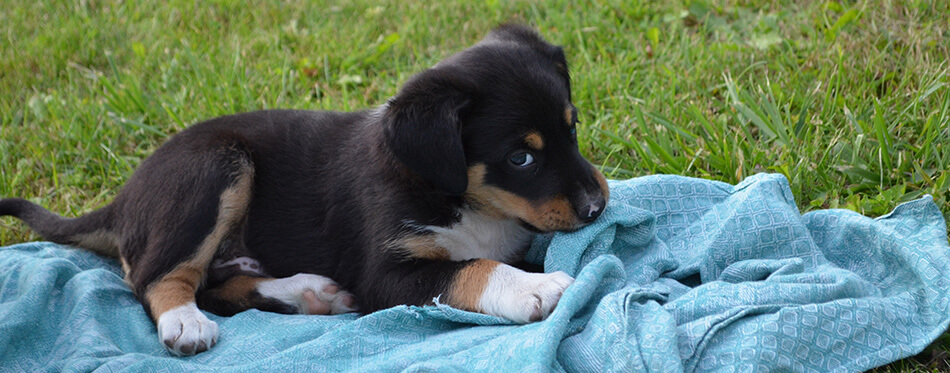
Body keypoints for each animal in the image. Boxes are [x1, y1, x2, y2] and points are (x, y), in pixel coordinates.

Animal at [0, 24, 608, 356]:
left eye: (573, 128)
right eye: (520, 157)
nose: (598, 207)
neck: (457, 197)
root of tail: (123, 198)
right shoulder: (385, 274)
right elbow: (472, 269)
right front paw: (536, 288)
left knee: (219, 285)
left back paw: (308, 293)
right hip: (214, 167)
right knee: (160, 277)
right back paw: (185, 323)